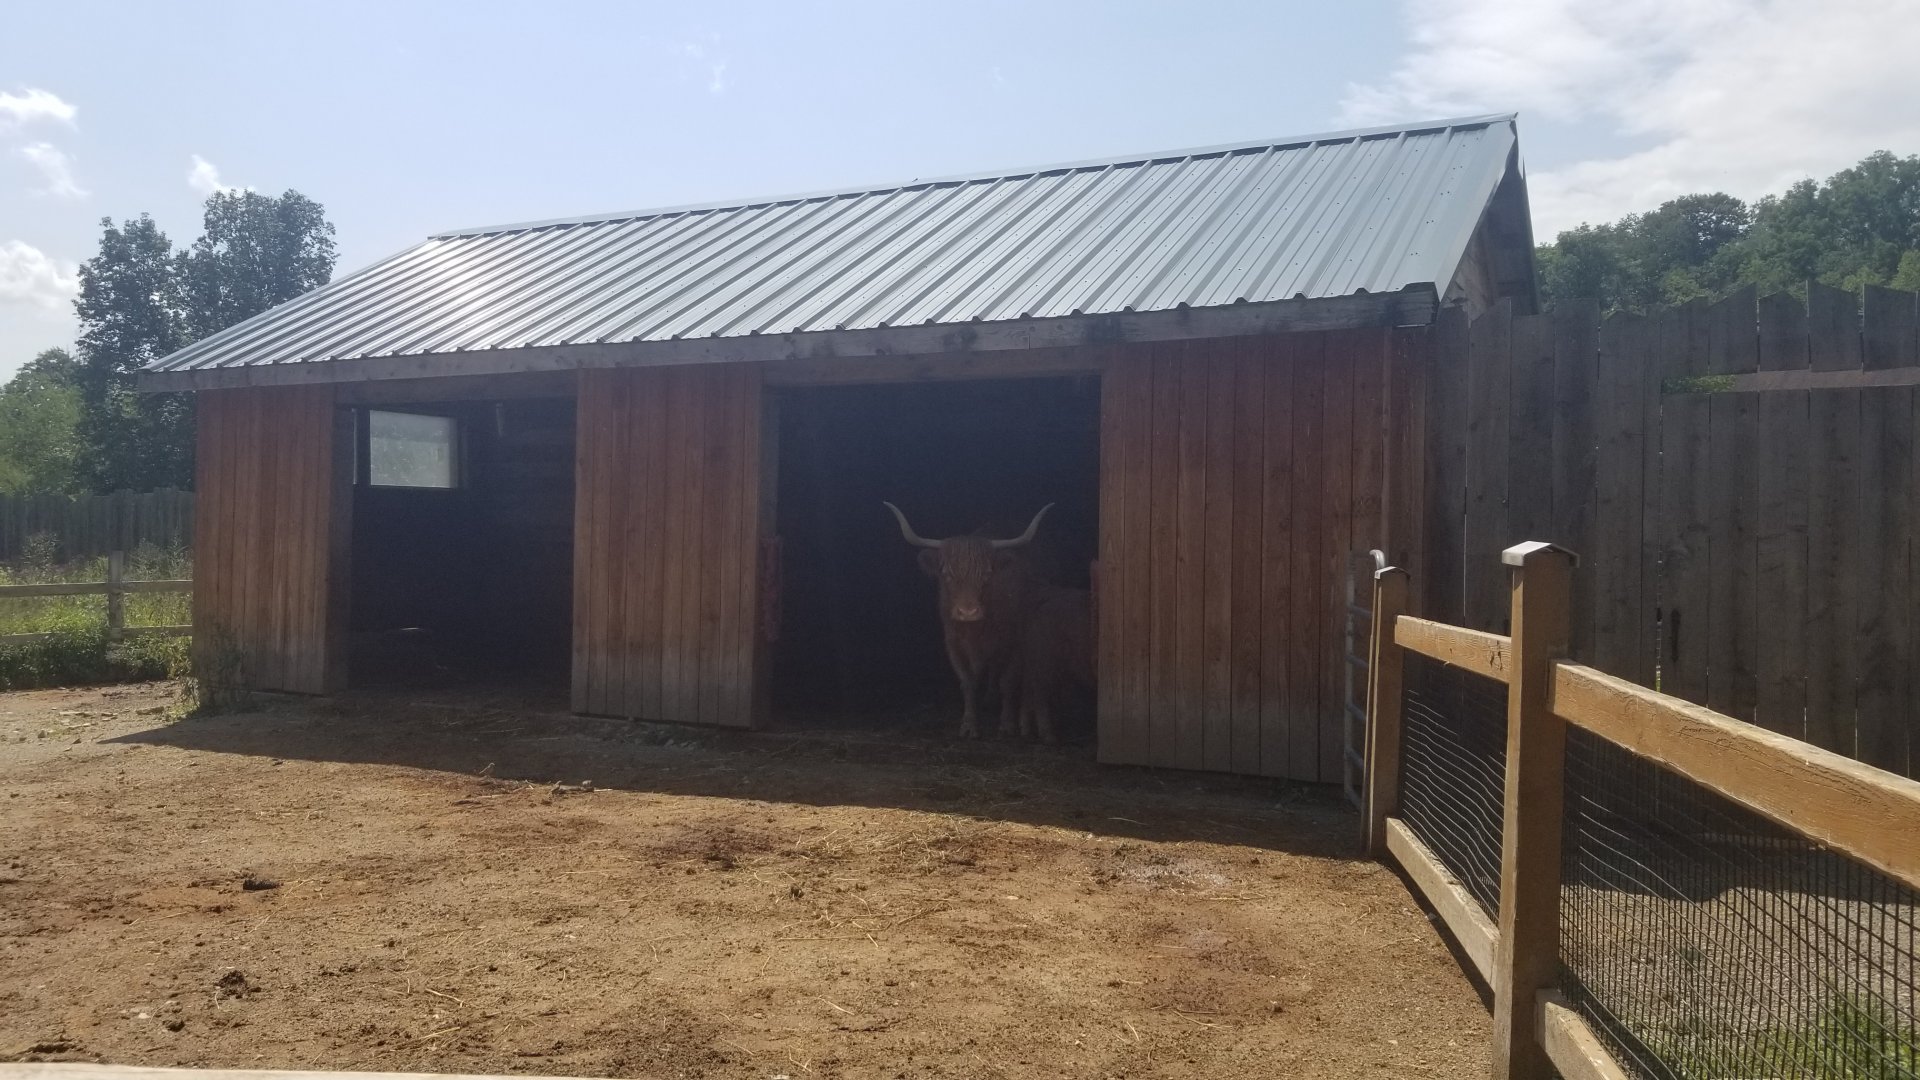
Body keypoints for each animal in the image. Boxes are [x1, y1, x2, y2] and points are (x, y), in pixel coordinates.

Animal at [884, 501, 1052, 739]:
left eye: (987, 574)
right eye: (946, 574)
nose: (967, 612)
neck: (976, 630)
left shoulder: (1014, 643)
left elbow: (1008, 681)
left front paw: (1007, 724)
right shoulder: (953, 643)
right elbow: (968, 682)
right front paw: (969, 725)